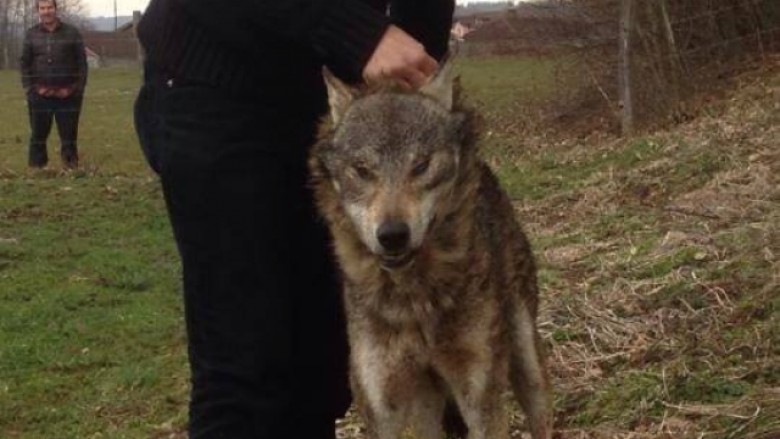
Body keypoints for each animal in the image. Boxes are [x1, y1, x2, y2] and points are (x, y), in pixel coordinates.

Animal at [308, 64, 552, 439]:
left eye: (421, 165)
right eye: (362, 170)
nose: (393, 235)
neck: (413, 299)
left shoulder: (479, 396)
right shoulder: (381, 407)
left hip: (527, 364)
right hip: (427, 403)